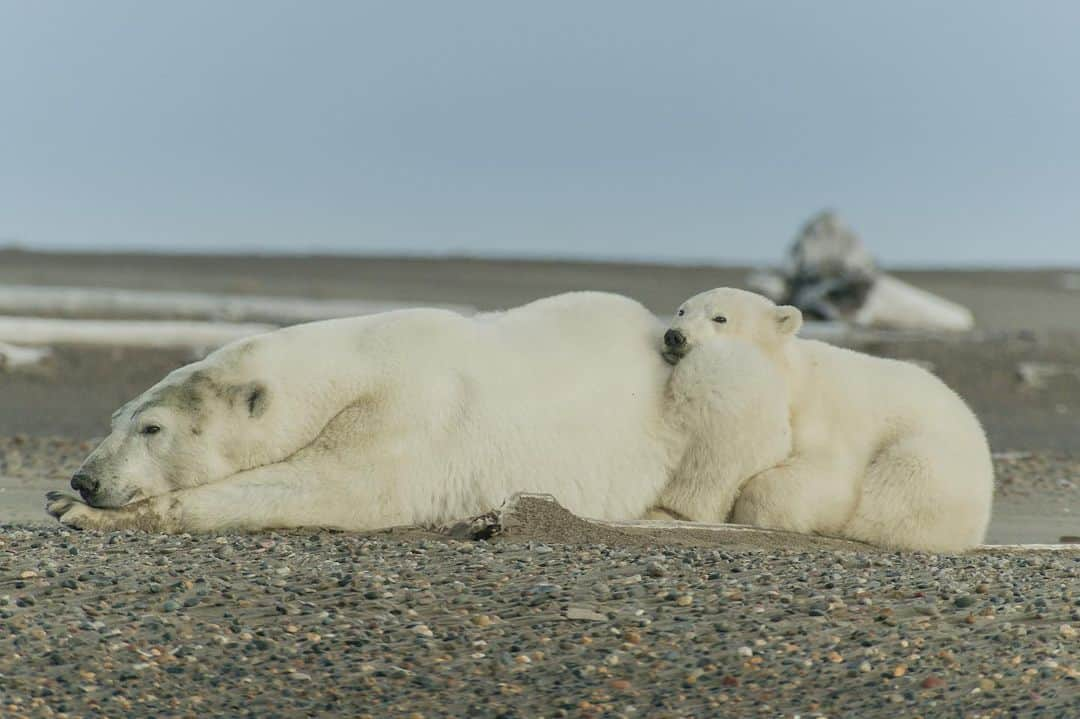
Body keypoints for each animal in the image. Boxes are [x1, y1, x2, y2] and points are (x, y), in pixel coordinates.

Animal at [50, 291, 790, 531]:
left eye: (153, 427)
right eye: (116, 417)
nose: (86, 477)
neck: (351, 368)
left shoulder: (405, 417)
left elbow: (331, 486)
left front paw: (93, 514)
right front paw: (64, 500)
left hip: (700, 383)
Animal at [656, 285, 993, 548]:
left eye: (720, 317)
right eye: (681, 311)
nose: (674, 336)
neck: (790, 375)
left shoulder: (819, 415)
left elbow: (829, 477)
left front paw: (754, 512)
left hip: (935, 456)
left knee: (903, 478)